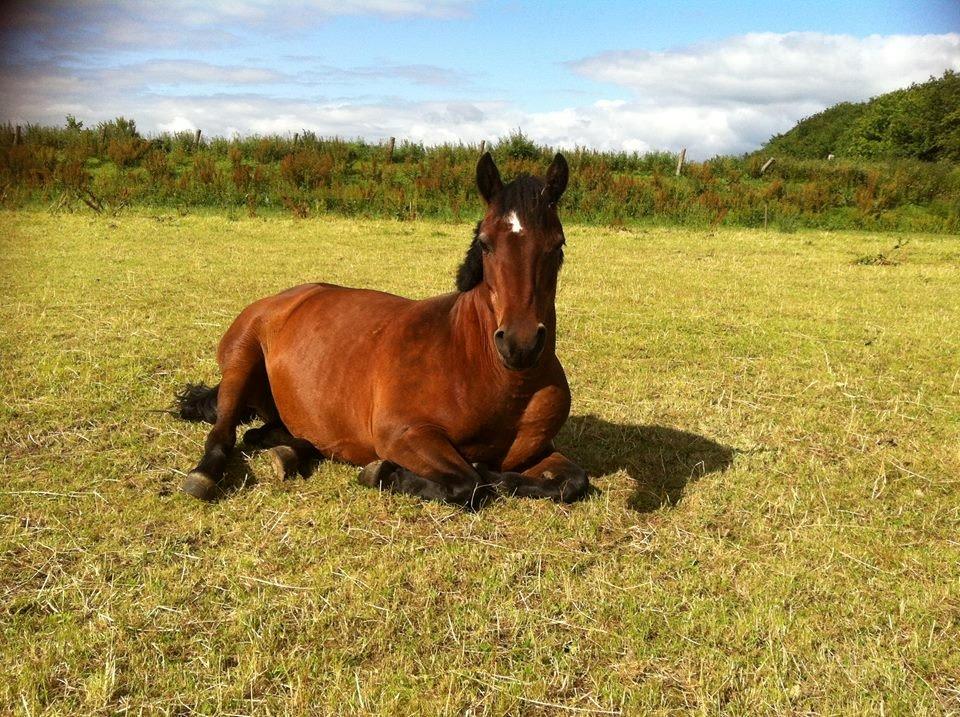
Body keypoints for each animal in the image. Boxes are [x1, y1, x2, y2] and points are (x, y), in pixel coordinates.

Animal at [175, 152, 588, 510]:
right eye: (485, 243)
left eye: (558, 244)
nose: (520, 344)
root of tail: (283, 298)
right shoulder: (403, 434)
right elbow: (469, 483)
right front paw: (383, 472)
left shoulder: (538, 449)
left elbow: (572, 482)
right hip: (240, 360)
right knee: (224, 433)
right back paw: (205, 475)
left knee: (271, 432)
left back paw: (289, 451)